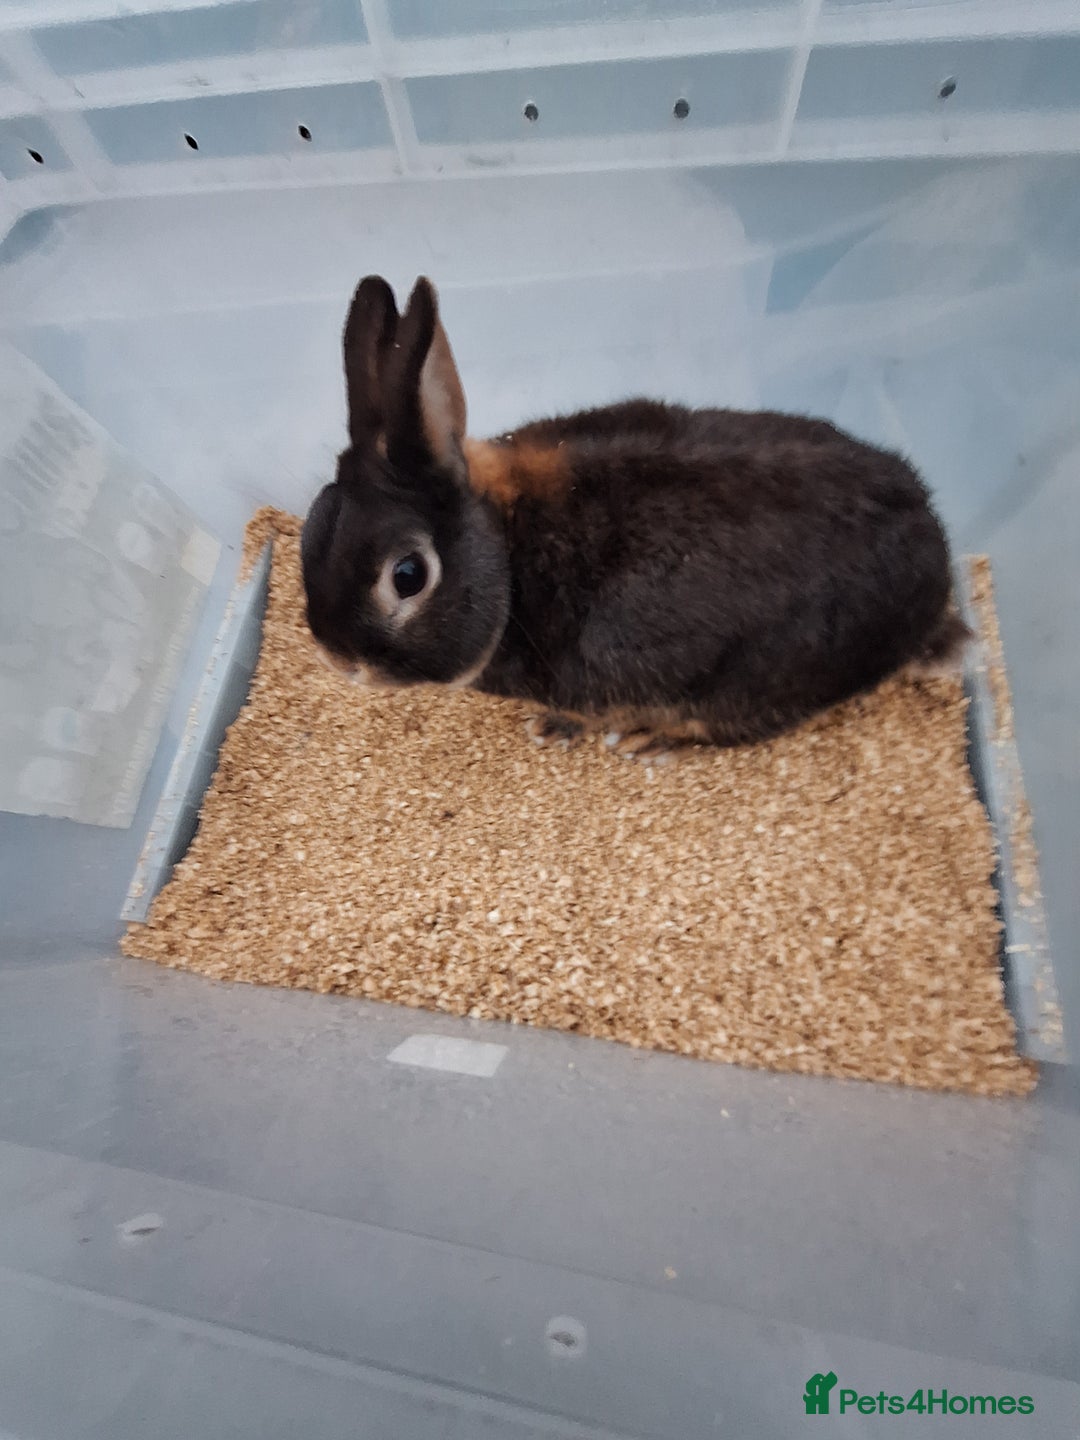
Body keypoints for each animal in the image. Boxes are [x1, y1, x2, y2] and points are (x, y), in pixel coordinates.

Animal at [301, 274, 968, 759]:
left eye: (407, 575)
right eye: (312, 527)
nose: (339, 660)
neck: (510, 551)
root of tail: (938, 577)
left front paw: (556, 728)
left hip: (767, 681)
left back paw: (659, 743)